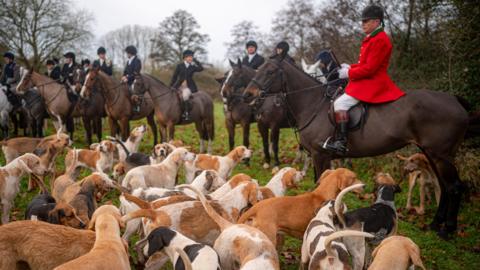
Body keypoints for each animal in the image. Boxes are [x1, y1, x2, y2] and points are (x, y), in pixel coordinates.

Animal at [246, 57, 470, 238]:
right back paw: (435, 224)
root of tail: (454, 99)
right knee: (444, 186)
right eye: (258, 69)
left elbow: (320, 182)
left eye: (270, 71)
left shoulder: (320, 155)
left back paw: (447, 230)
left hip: (440, 155)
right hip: (432, 155)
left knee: (454, 187)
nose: (248, 94)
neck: (313, 104)